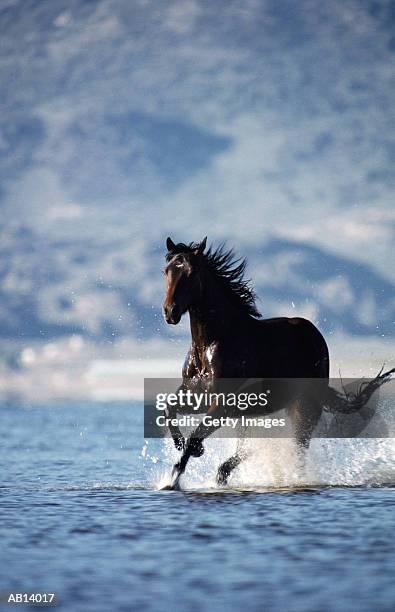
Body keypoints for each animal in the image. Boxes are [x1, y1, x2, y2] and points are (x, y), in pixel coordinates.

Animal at [162, 237, 395, 490]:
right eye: (167, 271)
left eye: (191, 272)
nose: (170, 312)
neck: (210, 346)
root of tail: (314, 335)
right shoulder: (197, 395)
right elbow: (169, 408)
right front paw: (182, 446)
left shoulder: (223, 403)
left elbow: (195, 436)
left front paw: (172, 479)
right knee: (246, 454)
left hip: (303, 408)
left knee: (295, 450)